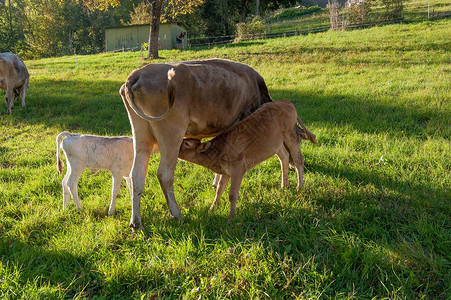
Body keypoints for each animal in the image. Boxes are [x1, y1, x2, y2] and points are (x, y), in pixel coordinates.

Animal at [120, 58, 274, 227]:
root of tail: (137, 74)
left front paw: (216, 182)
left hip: (141, 137)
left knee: (137, 175)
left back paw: (136, 222)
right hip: (171, 134)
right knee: (165, 174)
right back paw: (177, 214)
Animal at [178, 100, 316, 220]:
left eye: (187, 144)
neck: (218, 152)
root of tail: (286, 101)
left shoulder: (238, 169)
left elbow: (232, 195)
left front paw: (231, 218)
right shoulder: (225, 171)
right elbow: (219, 190)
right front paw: (212, 209)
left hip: (290, 135)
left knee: (298, 159)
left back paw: (299, 186)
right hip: (276, 143)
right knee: (285, 157)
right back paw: (284, 185)